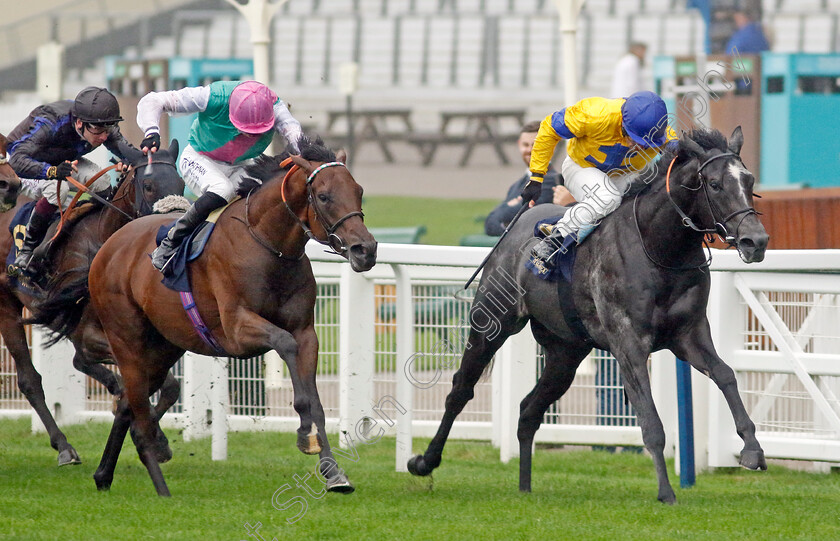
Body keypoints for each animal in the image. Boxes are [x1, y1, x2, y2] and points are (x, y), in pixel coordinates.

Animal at [0, 138, 185, 464]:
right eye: (149, 185)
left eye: (182, 183)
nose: (174, 224)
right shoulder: (89, 331)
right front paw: (152, 433)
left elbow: (170, 386)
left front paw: (157, 439)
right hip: (7, 307)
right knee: (29, 379)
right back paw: (64, 446)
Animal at [42, 137, 376, 496]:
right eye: (324, 196)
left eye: (358, 190)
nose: (366, 250)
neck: (267, 245)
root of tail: (106, 247)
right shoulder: (237, 329)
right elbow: (285, 345)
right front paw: (303, 433)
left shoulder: (306, 332)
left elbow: (314, 397)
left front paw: (333, 471)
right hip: (127, 342)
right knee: (134, 411)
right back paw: (159, 488)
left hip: (162, 348)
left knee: (127, 406)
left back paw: (104, 474)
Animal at [410, 125, 772, 502]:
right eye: (714, 183)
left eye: (749, 179)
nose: (755, 241)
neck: (659, 247)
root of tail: (519, 224)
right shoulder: (628, 342)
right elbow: (651, 420)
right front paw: (666, 492)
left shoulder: (689, 334)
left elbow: (726, 374)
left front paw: (752, 450)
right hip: (491, 322)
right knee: (460, 389)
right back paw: (424, 461)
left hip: (566, 352)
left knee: (528, 409)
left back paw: (525, 487)